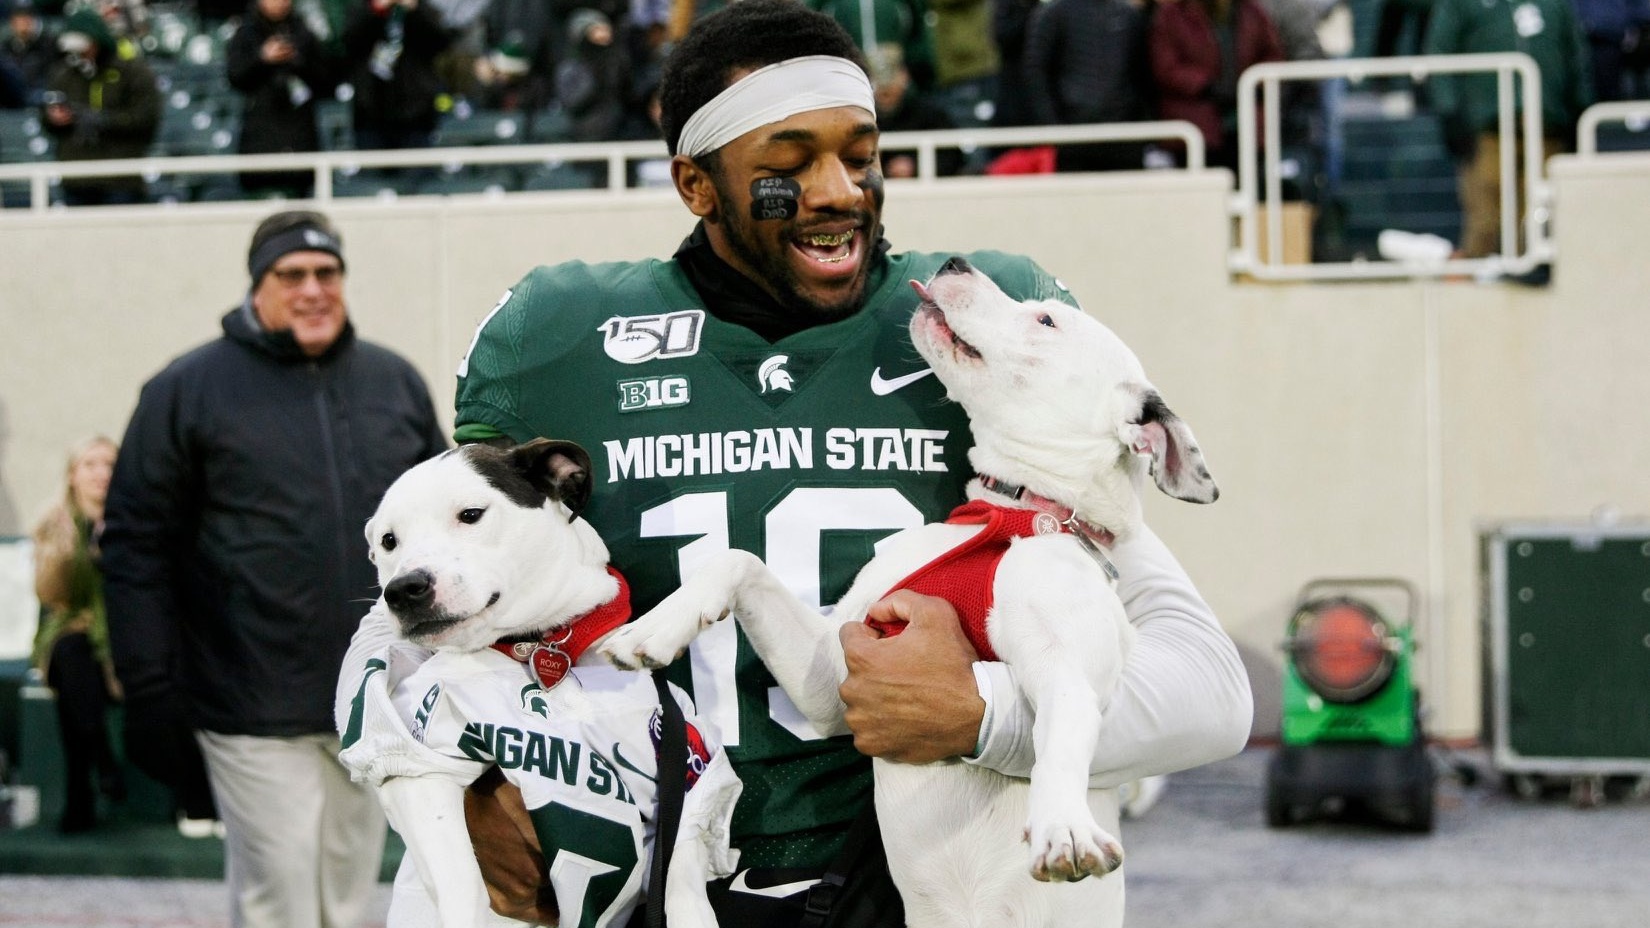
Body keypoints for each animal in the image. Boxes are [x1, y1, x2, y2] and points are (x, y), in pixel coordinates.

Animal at [338, 439, 739, 924]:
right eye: (388, 541)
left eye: (470, 514)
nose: (402, 589)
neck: (543, 647)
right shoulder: (419, 759)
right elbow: (460, 881)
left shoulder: (691, 780)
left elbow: (682, 871)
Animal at [600, 254, 1221, 924]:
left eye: (1046, 321)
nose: (955, 261)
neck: (1013, 515)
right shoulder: (829, 676)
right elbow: (736, 562)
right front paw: (653, 628)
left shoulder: (1067, 670)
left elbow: (1062, 732)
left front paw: (1063, 825)